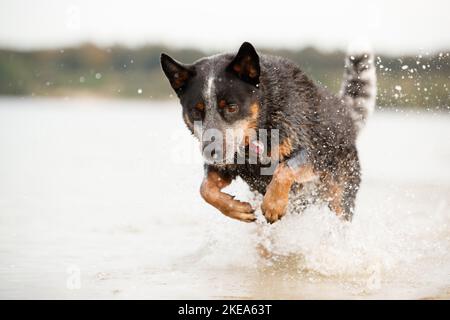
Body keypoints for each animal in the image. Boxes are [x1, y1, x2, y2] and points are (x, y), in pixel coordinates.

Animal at [160, 42, 374, 222]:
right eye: (196, 111)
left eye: (231, 107)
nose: (211, 151)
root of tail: (345, 116)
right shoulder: (224, 167)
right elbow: (205, 189)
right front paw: (236, 209)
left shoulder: (312, 152)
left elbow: (284, 168)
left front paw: (274, 204)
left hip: (339, 197)